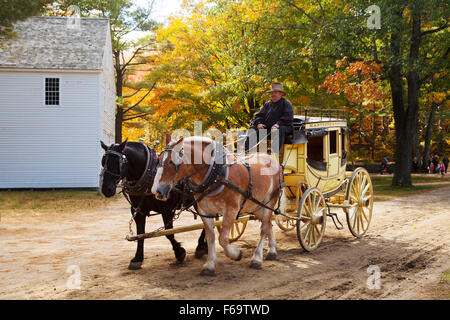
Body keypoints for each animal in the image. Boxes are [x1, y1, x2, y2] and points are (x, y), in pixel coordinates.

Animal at [153, 136, 284, 276]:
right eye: (158, 161)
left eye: (172, 162)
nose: (157, 191)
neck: (216, 175)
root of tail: (272, 159)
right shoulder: (205, 211)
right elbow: (211, 237)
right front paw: (210, 265)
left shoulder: (231, 210)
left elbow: (223, 239)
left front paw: (236, 254)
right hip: (257, 206)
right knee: (268, 224)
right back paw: (272, 251)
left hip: (270, 200)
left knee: (264, 228)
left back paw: (257, 259)